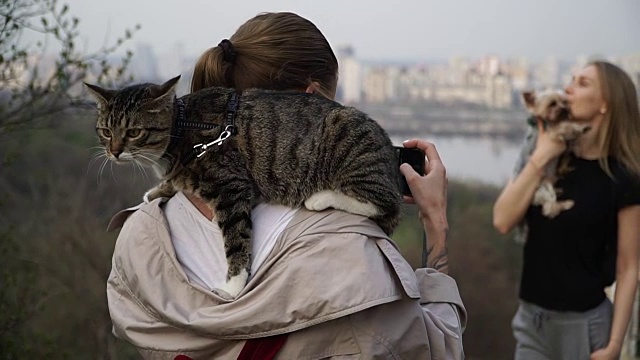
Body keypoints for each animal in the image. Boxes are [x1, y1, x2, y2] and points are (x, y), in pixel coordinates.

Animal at [85, 76, 402, 298]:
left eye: (134, 132)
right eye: (106, 131)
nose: (114, 152)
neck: (183, 127)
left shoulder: (231, 186)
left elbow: (236, 237)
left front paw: (234, 285)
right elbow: (174, 181)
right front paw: (159, 189)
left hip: (349, 143)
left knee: (384, 202)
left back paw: (321, 197)